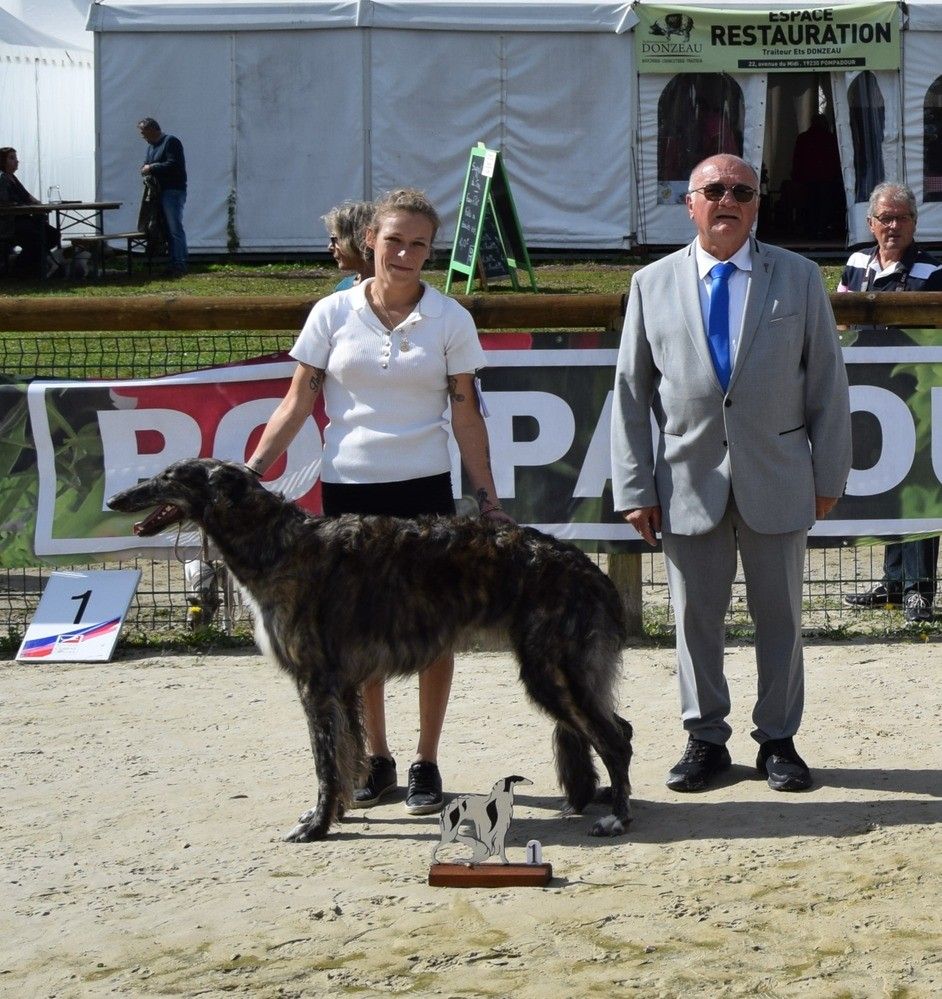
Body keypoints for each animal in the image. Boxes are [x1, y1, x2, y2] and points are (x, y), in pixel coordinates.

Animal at [107, 459, 633, 842]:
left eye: (168, 476)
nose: (114, 498)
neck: (277, 545)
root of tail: (587, 567)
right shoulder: (342, 687)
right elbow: (345, 754)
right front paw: (335, 812)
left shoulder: (314, 682)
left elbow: (324, 762)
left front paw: (316, 826)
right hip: (562, 669)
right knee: (609, 727)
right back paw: (589, 799)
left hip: (550, 668)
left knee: (616, 739)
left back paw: (617, 817)